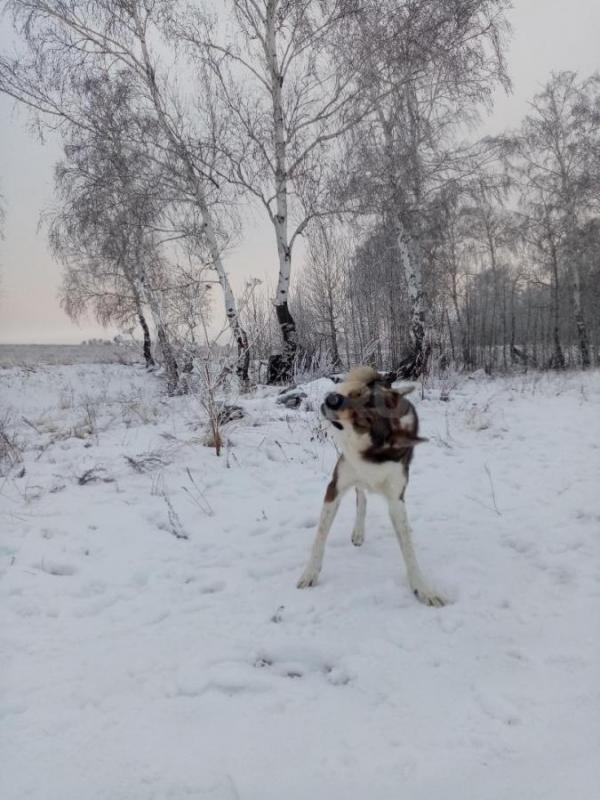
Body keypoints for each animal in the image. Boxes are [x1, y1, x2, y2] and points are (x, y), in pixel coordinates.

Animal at [296, 368, 442, 608]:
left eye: (364, 419)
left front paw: (422, 588)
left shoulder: (396, 499)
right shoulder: (335, 487)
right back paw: (358, 532)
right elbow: (320, 536)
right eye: (357, 394)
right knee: (361, 496)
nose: (332, 398)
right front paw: (310, 573)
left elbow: (408, 547)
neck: (370, 454)